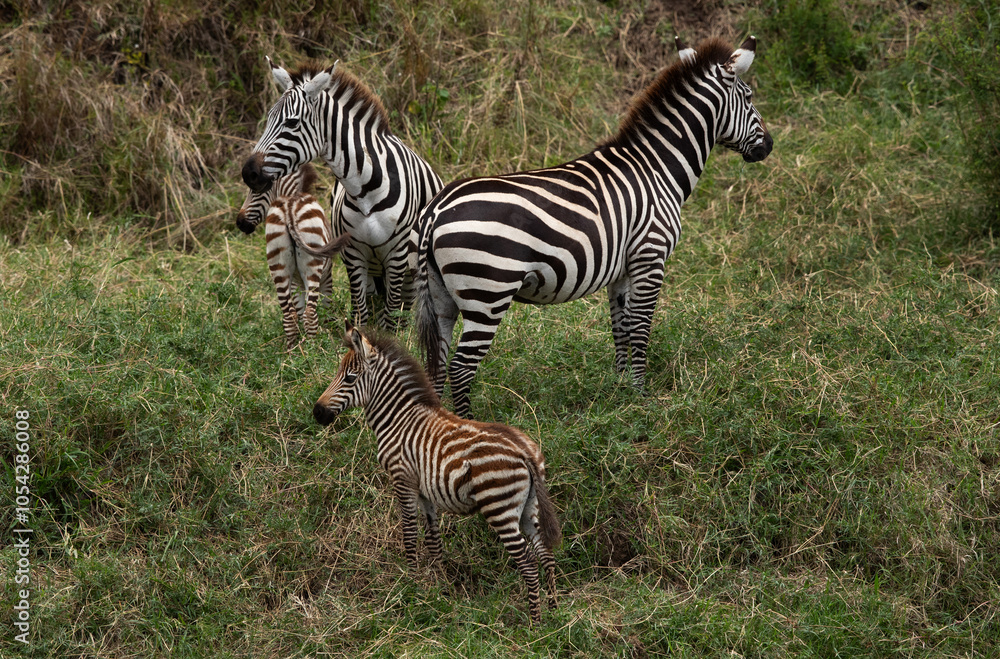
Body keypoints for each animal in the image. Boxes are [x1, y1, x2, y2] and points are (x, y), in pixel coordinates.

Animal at [235, 162, 350, 349]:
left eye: (255, 191)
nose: (239, 223)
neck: (292, 193)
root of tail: (289, 206)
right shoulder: (327, 275)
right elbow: (326, 306)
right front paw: (329, 331)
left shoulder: (296, 279)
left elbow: (300, 311)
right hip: (313, 266)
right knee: (310, 314)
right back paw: (313, 351)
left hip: (277, 262)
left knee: (289, 316)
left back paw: (292, 353)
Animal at [241, 58, 443, 330]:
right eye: (268, 120)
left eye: (291, 123)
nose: (247, 173)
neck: (365, 189)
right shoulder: (353, 254)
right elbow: (360, 312)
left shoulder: (397, 255)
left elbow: (392, 316)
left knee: (404, 307)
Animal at [312, 321, 561, 624]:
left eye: (348, 379)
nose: (317, 412)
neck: (398, 419)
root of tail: (524, 451)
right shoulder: (425, 490)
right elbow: (433, 539)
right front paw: (439, 588)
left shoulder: (403, 479)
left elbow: (409, 533)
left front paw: (410, 584)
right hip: (530, 505)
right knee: (544, 551)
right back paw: (554, 612)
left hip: (498, 506)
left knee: (527, 560)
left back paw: (534, 622)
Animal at [415, 36, 773, 418]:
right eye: (750, 96)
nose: (769, 146)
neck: (657, 167)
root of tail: (436, 209)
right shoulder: (650, 257)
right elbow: (641, 328)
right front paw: (642, 395)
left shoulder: (622, 268)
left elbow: (621, 328)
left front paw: (622, 388)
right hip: (488, 292)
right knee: (460, 367)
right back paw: (469, 424)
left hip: (441, 297)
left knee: (437, 364)